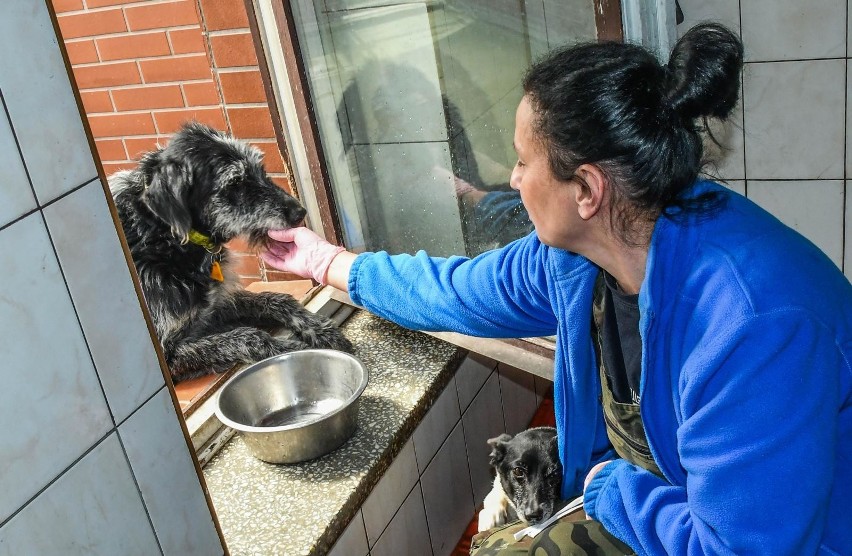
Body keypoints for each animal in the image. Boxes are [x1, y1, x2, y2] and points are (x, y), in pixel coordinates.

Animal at [109, 121, 352, 382]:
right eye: (235, 183)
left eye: (260, 169)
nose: (299, 212)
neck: (160, 236)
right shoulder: (168, 353)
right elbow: (248, 337)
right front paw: (295, 349)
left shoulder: (213, 306)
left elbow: (275, 298)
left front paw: (320, 329)